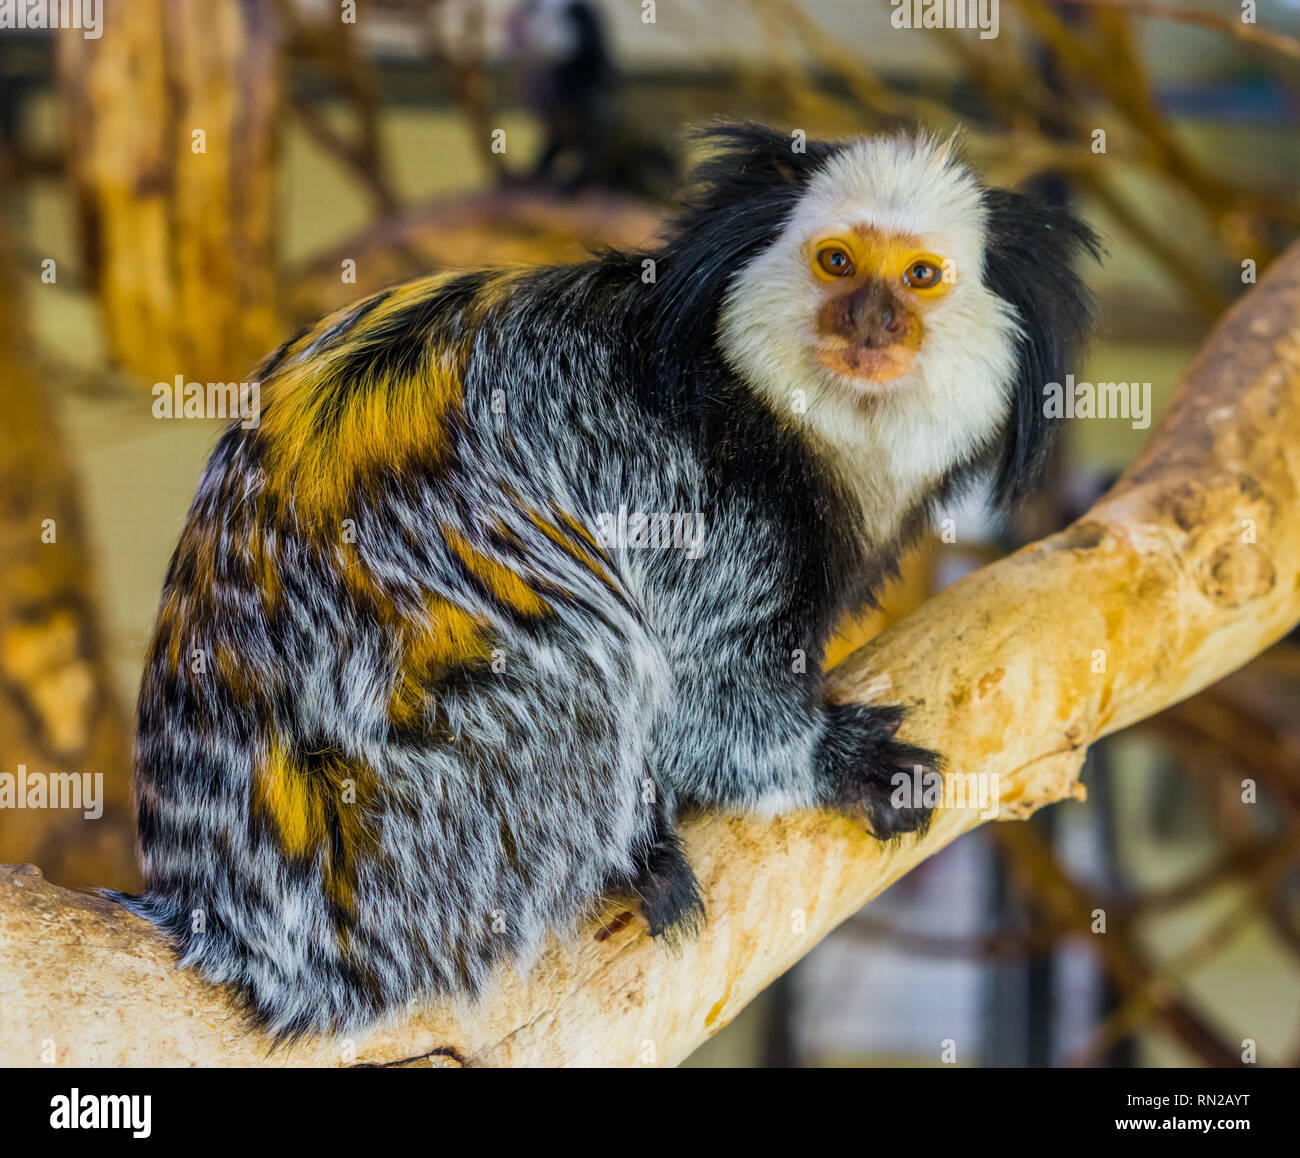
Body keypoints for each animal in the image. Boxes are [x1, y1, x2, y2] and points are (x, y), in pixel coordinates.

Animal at [108, 124, 1098, 1041]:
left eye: (922, 276)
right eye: (838, 261)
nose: (871, 320)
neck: (772, 414)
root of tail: (225, 921)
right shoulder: (684, 491)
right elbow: (697, 697)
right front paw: (831, 761)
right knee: (590, 658)